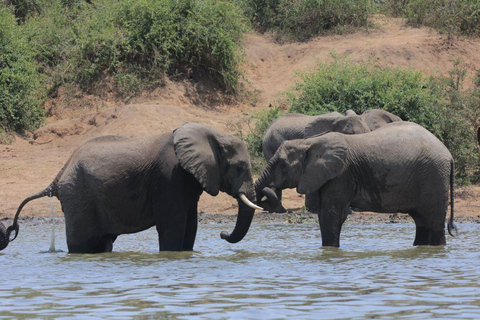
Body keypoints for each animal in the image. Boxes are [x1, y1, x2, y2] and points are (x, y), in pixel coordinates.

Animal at [0, 122, 262, 252]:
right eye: (240, 168)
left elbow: (191, 226)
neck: (211, 134)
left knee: (103, 243)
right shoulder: (170, 178)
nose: (222, 234)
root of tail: (60, 173)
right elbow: (173, 226)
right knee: (83, 244)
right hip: (78, 196)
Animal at [255, 122, 454, 248]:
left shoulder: (341, 174)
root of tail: (449, 155)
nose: (269, 188)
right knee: (421, 221)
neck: (309, 142)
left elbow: (330, 215)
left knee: (434, 220)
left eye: (282, 165)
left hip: (433, 176)